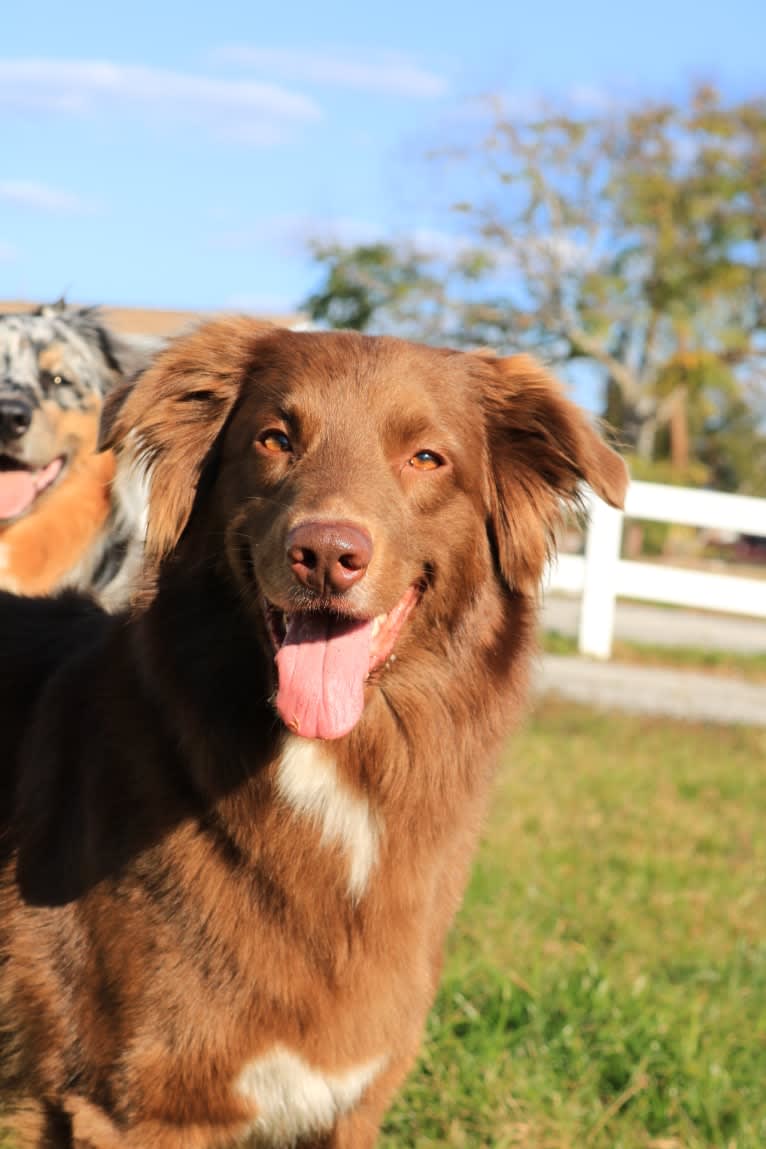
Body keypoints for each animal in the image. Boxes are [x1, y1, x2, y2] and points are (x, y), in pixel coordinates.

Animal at [0, 319, 624, 1144]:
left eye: (427, 457)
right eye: (274, 439)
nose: (326, 555)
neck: (333, 775)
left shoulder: (347, 1102)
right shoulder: (135, 1107)